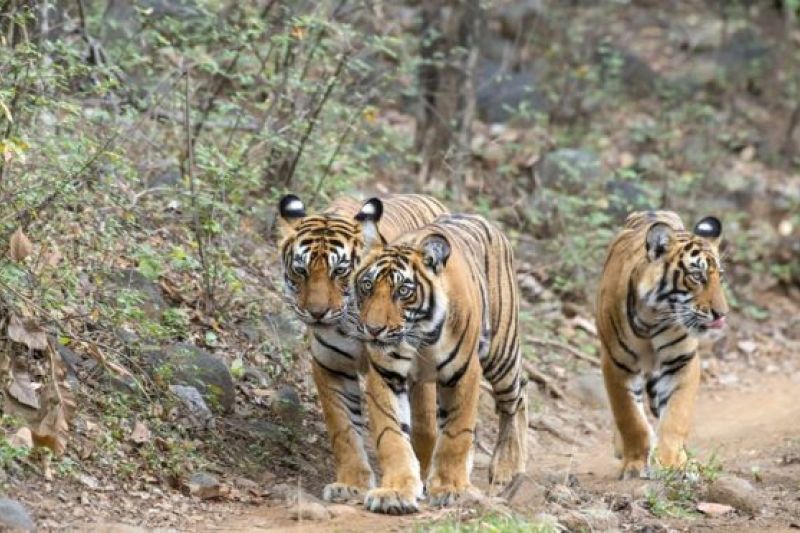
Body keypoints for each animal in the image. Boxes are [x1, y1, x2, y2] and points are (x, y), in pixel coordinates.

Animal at [276, 193, 448, 503]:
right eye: (301, 270)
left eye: (340, 271)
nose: (316, 313)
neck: (349, 323)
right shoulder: (331, 365)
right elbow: (343, 429)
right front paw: (352, 484)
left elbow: (401, 428)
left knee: (427, 421)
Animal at [347, 200, 528, 514]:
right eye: (367, 286)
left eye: (403, 291)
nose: (373, 329)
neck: (419, 335)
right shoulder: (386, 374)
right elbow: (392, 435)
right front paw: (395, 492)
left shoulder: (464, 372)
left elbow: (456, 434)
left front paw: (451, 489)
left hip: (501, 353)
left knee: (516, 399)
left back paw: (507, 467)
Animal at [596, 210, 728, 480]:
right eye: (697, 276)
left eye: (720, 276)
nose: (722, 314)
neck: (652, 318)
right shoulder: (616, 364)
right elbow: (630, 418)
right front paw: (635, 464)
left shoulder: (681, 363)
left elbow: (675, 418)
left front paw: (672, 464)